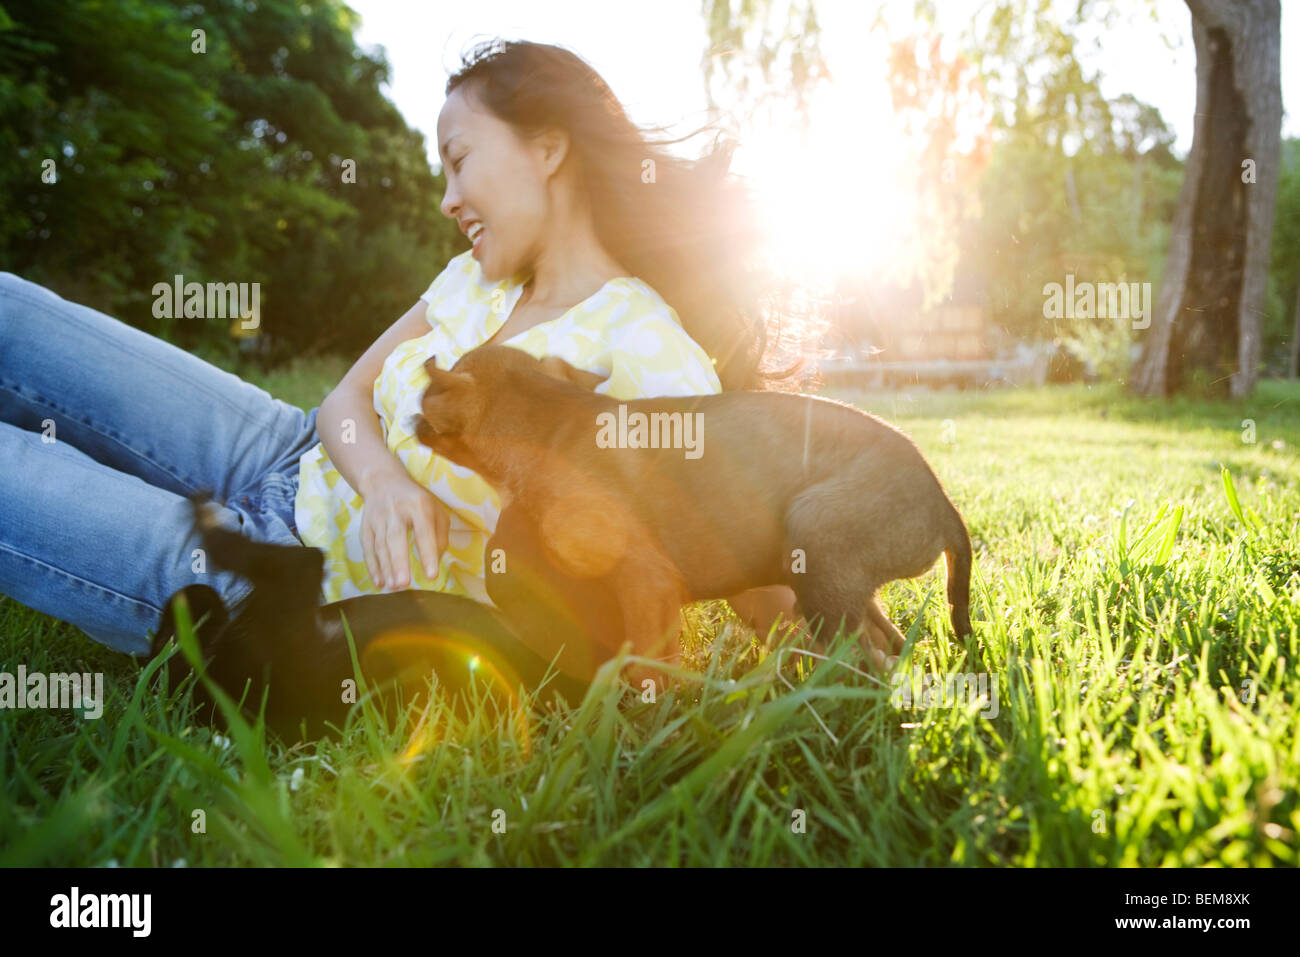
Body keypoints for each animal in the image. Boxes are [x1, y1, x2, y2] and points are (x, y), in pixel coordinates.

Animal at [410, 348, 972, 686]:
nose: (408, 417)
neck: (553, 426)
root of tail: (944, 508)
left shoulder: (646, 582)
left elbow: (651, 669)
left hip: (815, 539)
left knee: (868, 661)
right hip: (841, 586)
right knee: (890, 646)